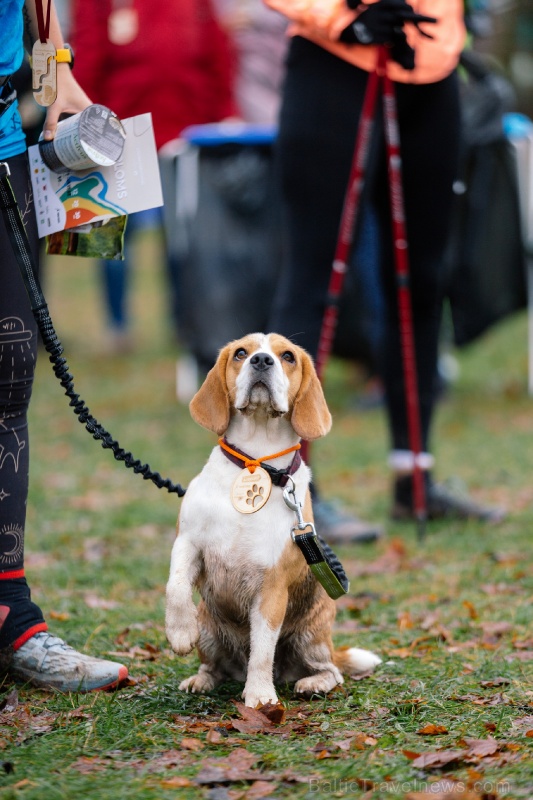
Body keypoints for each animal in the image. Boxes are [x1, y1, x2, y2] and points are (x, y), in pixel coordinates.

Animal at [165, 332, 378, 708]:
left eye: (288, 356)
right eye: (240, 352)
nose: (262, 360)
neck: (256, 462)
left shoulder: (271, 587)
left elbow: (263, 650)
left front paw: (261, 696)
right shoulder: (188, 542)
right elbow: (175, 586)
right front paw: (178, 632)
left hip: (311, 638)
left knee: (331, 671)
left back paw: (313, 683)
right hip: (209, 629)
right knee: (214, 667)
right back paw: (202, 679)